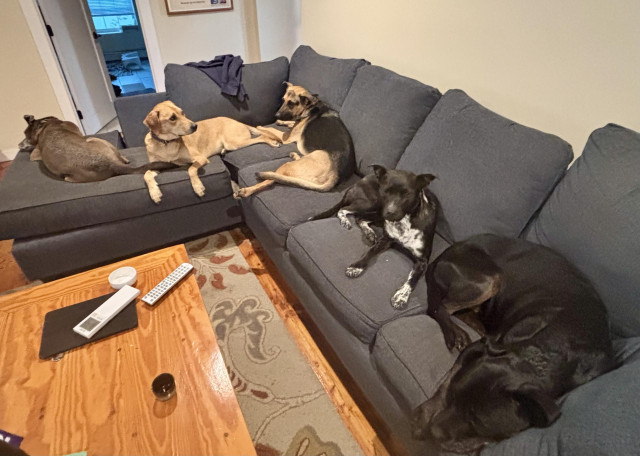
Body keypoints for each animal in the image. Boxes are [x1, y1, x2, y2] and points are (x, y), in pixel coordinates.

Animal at [144, 102, 282, 204]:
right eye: (172, 118)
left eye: (182, 113)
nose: (195, 126)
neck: (166, 144)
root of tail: (238, 121)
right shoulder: (157, 166)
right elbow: (146, 174)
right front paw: (154, 193)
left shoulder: (200, 158)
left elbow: (191, 169)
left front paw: (198, 187)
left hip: (234, 142)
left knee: (262, 136)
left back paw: (272, 142)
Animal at [342, 167, 438, 310]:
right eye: (385, 191)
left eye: (407, 194)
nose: (390, 212)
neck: (404, 222)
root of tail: (361, 180)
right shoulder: (385, 240)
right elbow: (370, 252)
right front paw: (356, 266)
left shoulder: (423, 261)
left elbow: (412, 280)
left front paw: (401, 296)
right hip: (374, 205)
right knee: (349, 212)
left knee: (359, 217)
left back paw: (369, 232)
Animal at [412, 233, 616, 454]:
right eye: (453, 395)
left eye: (478, 424)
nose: (434, 432)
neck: (540, 358)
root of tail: (445, 252)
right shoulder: (477, 350)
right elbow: (446, 383)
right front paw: (424, 415)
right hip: (489, 279)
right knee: (441, 307)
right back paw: (455, 331)